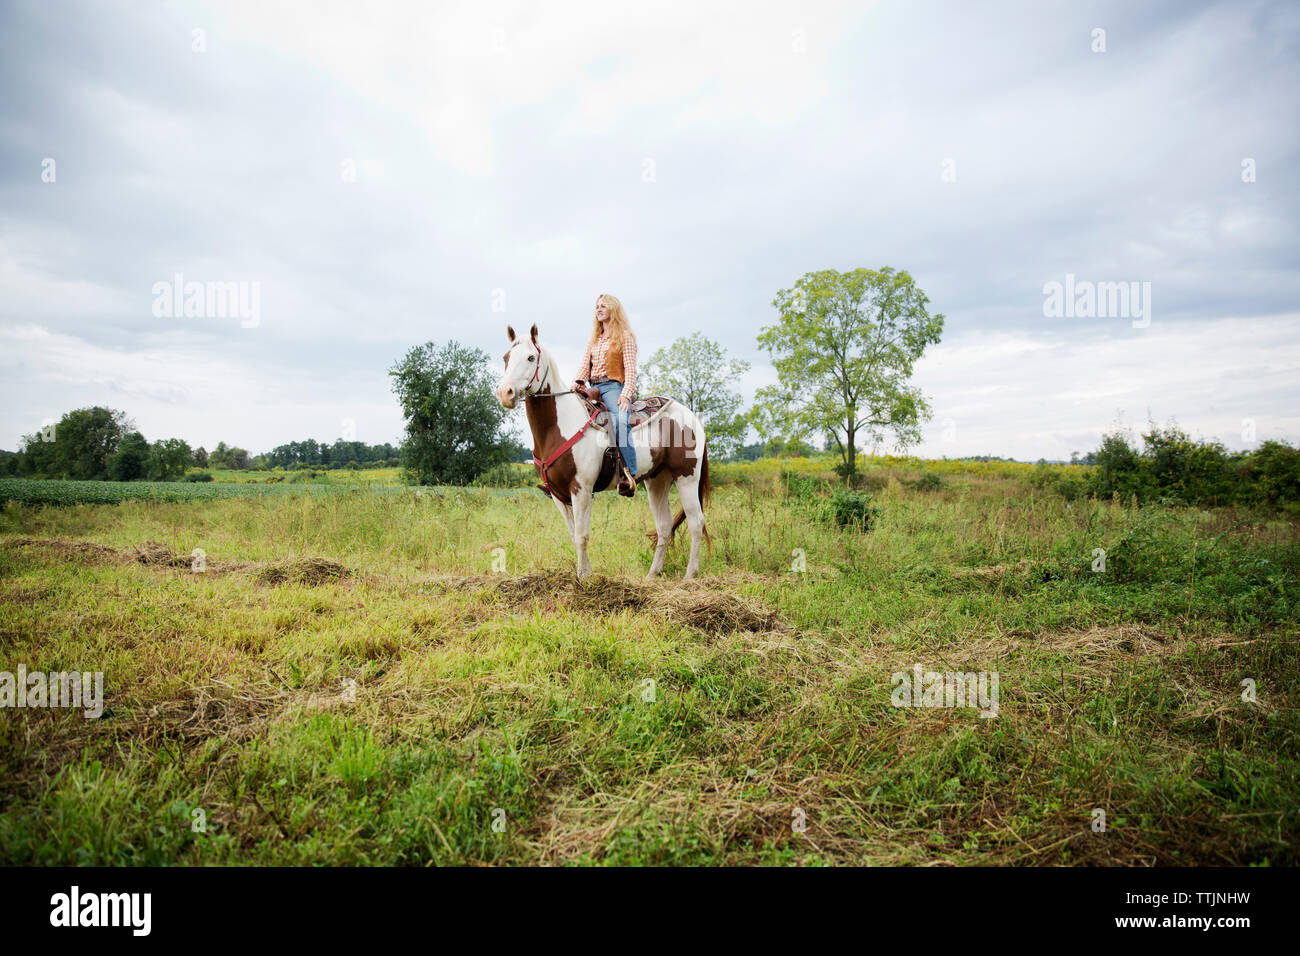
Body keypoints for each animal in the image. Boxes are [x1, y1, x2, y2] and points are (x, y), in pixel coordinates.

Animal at [495, 323, 711, 580]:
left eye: (530, 357)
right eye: (506, 357)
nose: (505, 393)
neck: (560, 426)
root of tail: (692, 417)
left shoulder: (581, 489)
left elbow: (581, 536)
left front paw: (582, 577)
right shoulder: (558, 495)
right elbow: (574, 535)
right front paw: (585, 573)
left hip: (687, 477)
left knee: (696, 522)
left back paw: (690, 575)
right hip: (657, 481)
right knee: (664, 526)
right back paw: (652, 575)